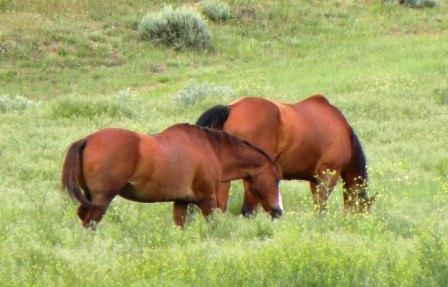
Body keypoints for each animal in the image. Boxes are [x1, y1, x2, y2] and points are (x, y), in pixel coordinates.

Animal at [61, 125, 282, 228]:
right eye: (277, 179)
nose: (278, 212)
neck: (209, 148)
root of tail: (87, 140)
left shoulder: (181, 202)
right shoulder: (207, 201)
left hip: (90, 198)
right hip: (101, 201)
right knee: (89, 223)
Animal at [196, 95, 374, 216]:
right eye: (363, 210)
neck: (344, 132)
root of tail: (231, 108)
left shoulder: (314, 179)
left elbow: (318, 204)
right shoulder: (328, 174)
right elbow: (322, 205)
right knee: (248, 209)